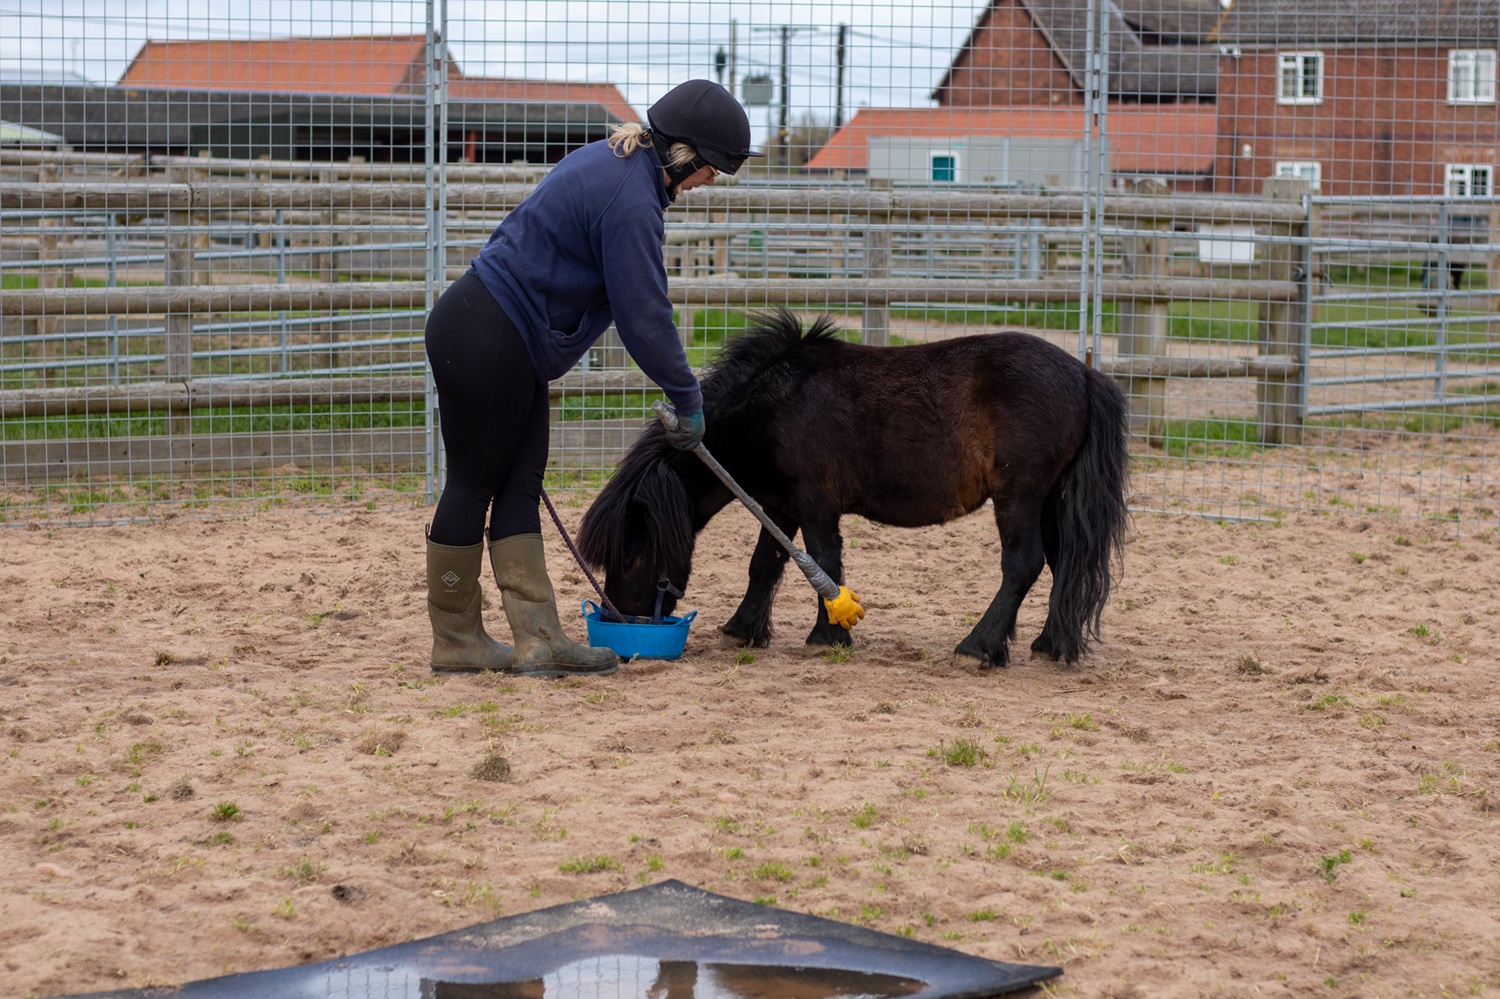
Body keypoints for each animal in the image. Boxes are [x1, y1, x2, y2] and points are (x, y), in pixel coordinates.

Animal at [575, 309, 1130, 669]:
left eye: (630, 555)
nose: (621, 618)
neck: (774, 405)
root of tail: (1085, 374)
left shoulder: (815, 504)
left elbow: (824, 562)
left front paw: (828, 635)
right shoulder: (778, 505)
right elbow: (764, 565)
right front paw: (742, 630)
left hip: (1021, 495)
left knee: (1023, 565)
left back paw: (978, 647)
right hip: (1051, 498)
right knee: (1062, 564)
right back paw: (1049, 644)